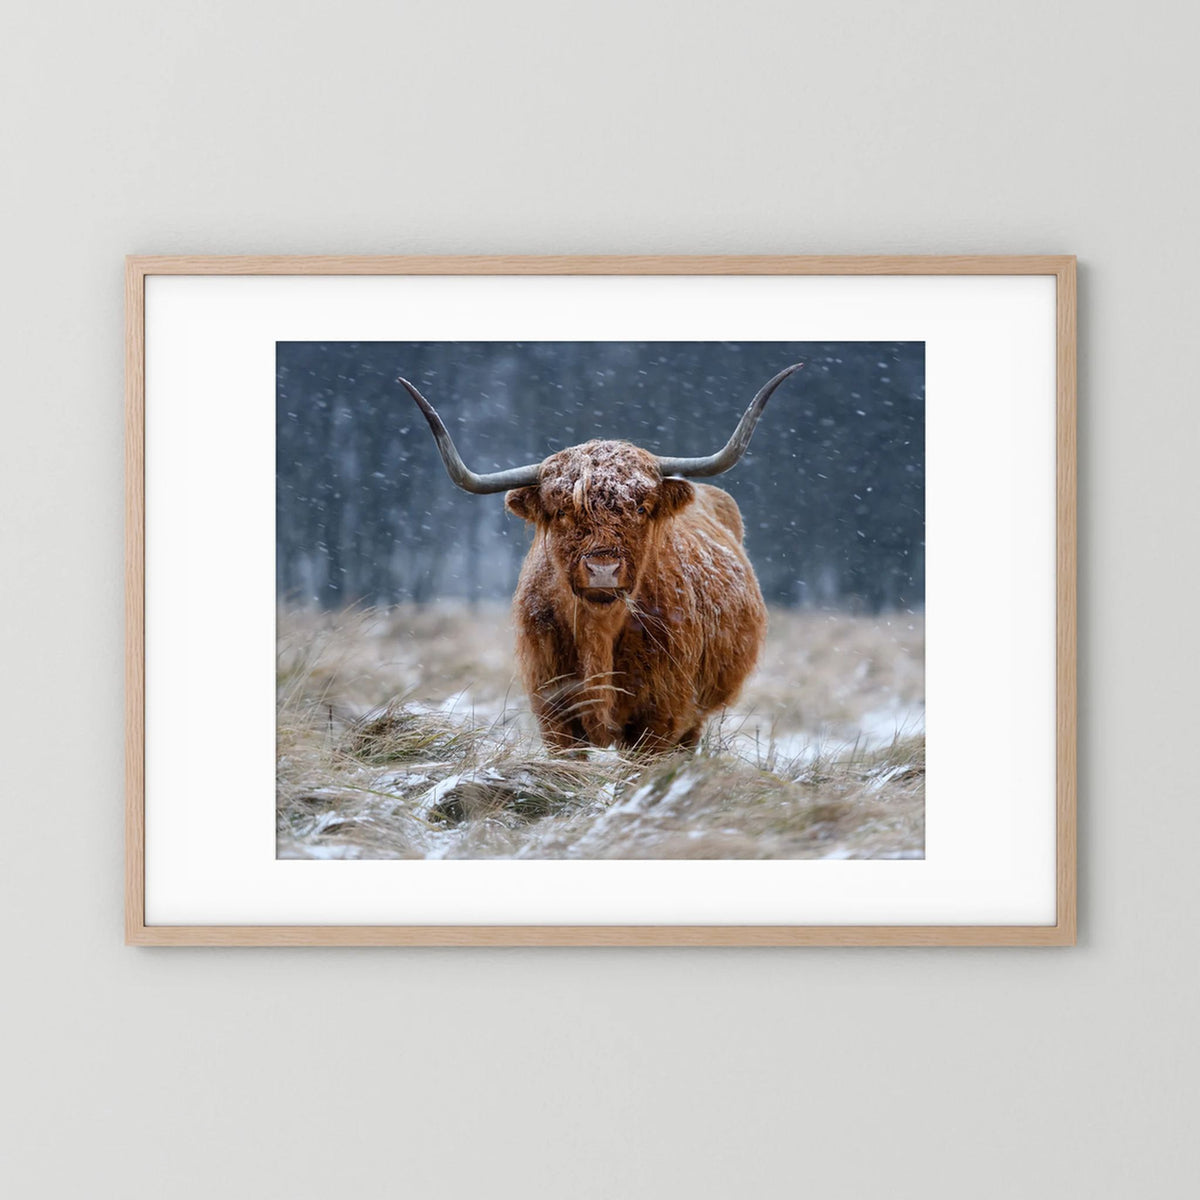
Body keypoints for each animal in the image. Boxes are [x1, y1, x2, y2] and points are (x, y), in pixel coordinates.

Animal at [397, 363, 804, 753]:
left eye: (640, 508)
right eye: (562, 511)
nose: (603, 569)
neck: (599, 633)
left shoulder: (661, 716)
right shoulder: (554, 713)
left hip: (694, 717)